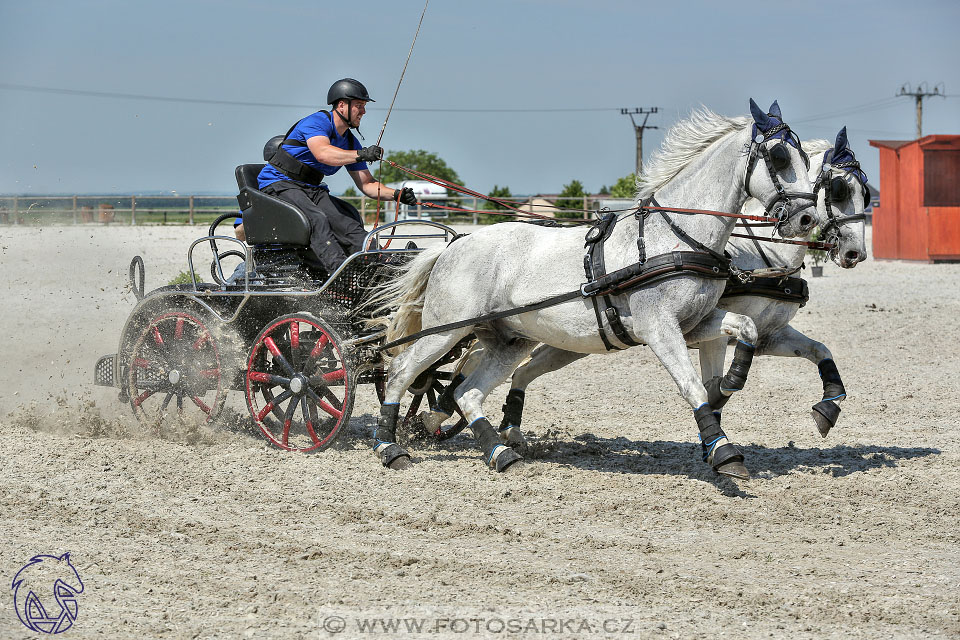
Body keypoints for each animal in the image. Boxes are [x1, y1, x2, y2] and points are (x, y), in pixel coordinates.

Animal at [372, 101, 820, 480]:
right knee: (400, 373)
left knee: (467, 393)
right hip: (446, 330)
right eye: (780, 157)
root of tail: (454, 243)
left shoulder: (695, 324)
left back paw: (501, 453)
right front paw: (725, 453)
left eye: (808, 162)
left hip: (509, 341)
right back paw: (390, 448)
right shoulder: (659, 328)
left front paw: (734, 379)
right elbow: (692, 386)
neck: (675, 237)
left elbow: (744, 327)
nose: (806, 219)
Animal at [452, 126, 872, 456]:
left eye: (865, 193)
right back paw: (447, 414)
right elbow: (713, 384)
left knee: (517, 370)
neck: (761, 255)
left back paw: (495, 426)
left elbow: (819, 351)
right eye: (837, 189)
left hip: (566, 339)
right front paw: (717, 422)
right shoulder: (707, 335)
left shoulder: (768, 334)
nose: (856, 252)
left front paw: (827, 409)